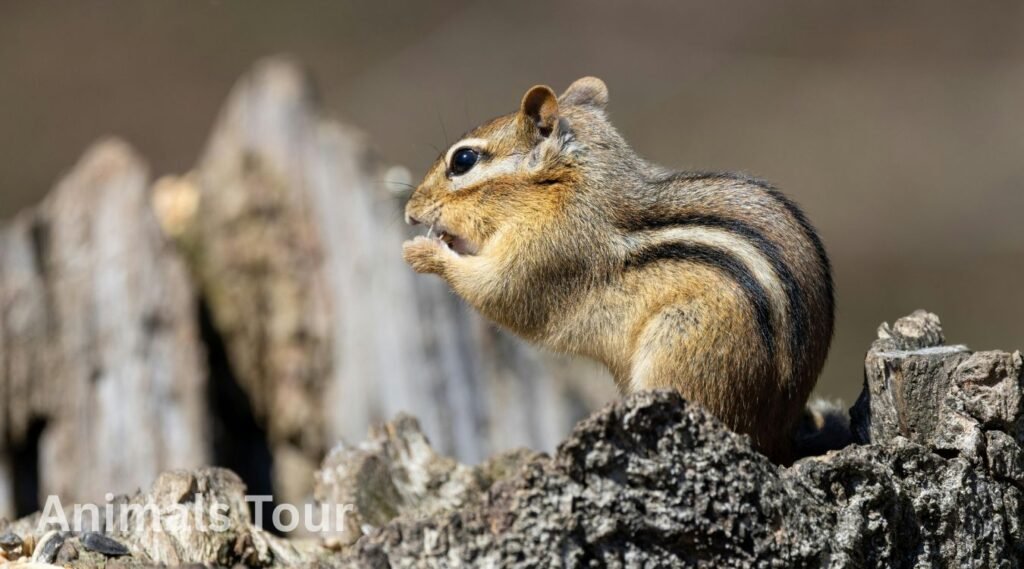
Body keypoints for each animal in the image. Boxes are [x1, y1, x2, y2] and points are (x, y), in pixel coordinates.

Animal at [402, 77, 835, 463]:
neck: (566, 186)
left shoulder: (547, 254)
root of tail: (778, 437)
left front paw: (424, 251)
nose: (409, 211)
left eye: (463, 160)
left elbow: (495, 290)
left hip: (687, 345)